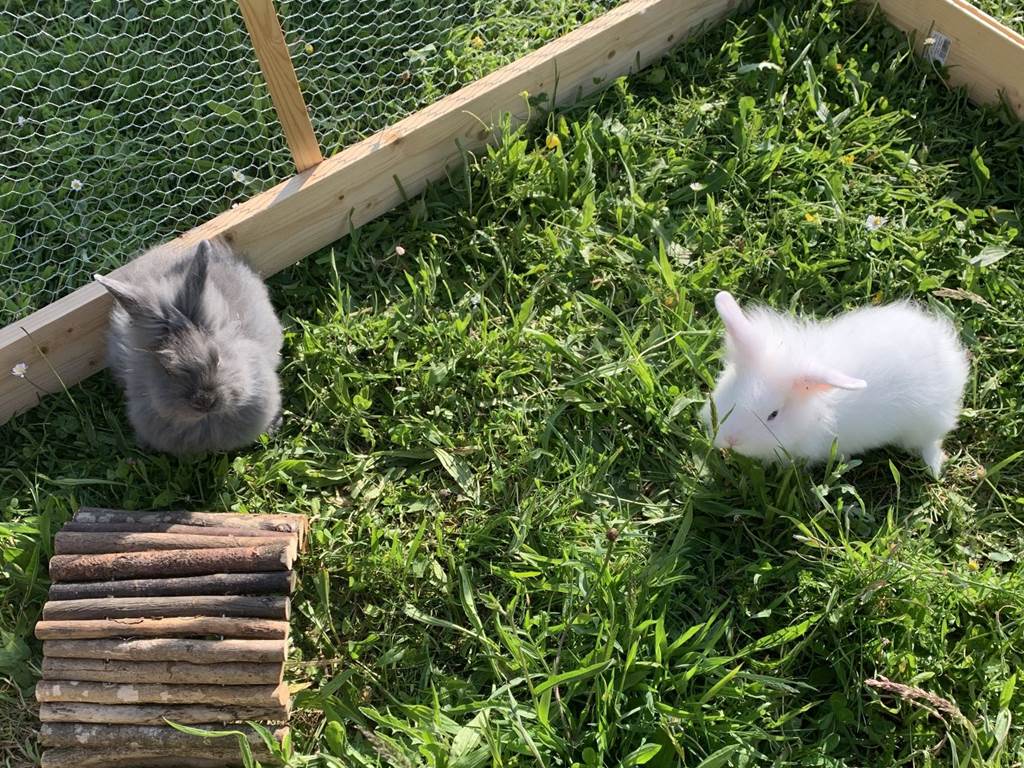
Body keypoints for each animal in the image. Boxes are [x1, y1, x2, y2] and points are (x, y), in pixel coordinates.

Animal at [700, 291, 969, 478]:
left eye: (773, 414)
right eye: (731, 391)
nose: (731, 440)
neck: (813, 411)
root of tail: (947, 351)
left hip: (927, 423)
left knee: (930, 443)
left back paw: (933, 468)